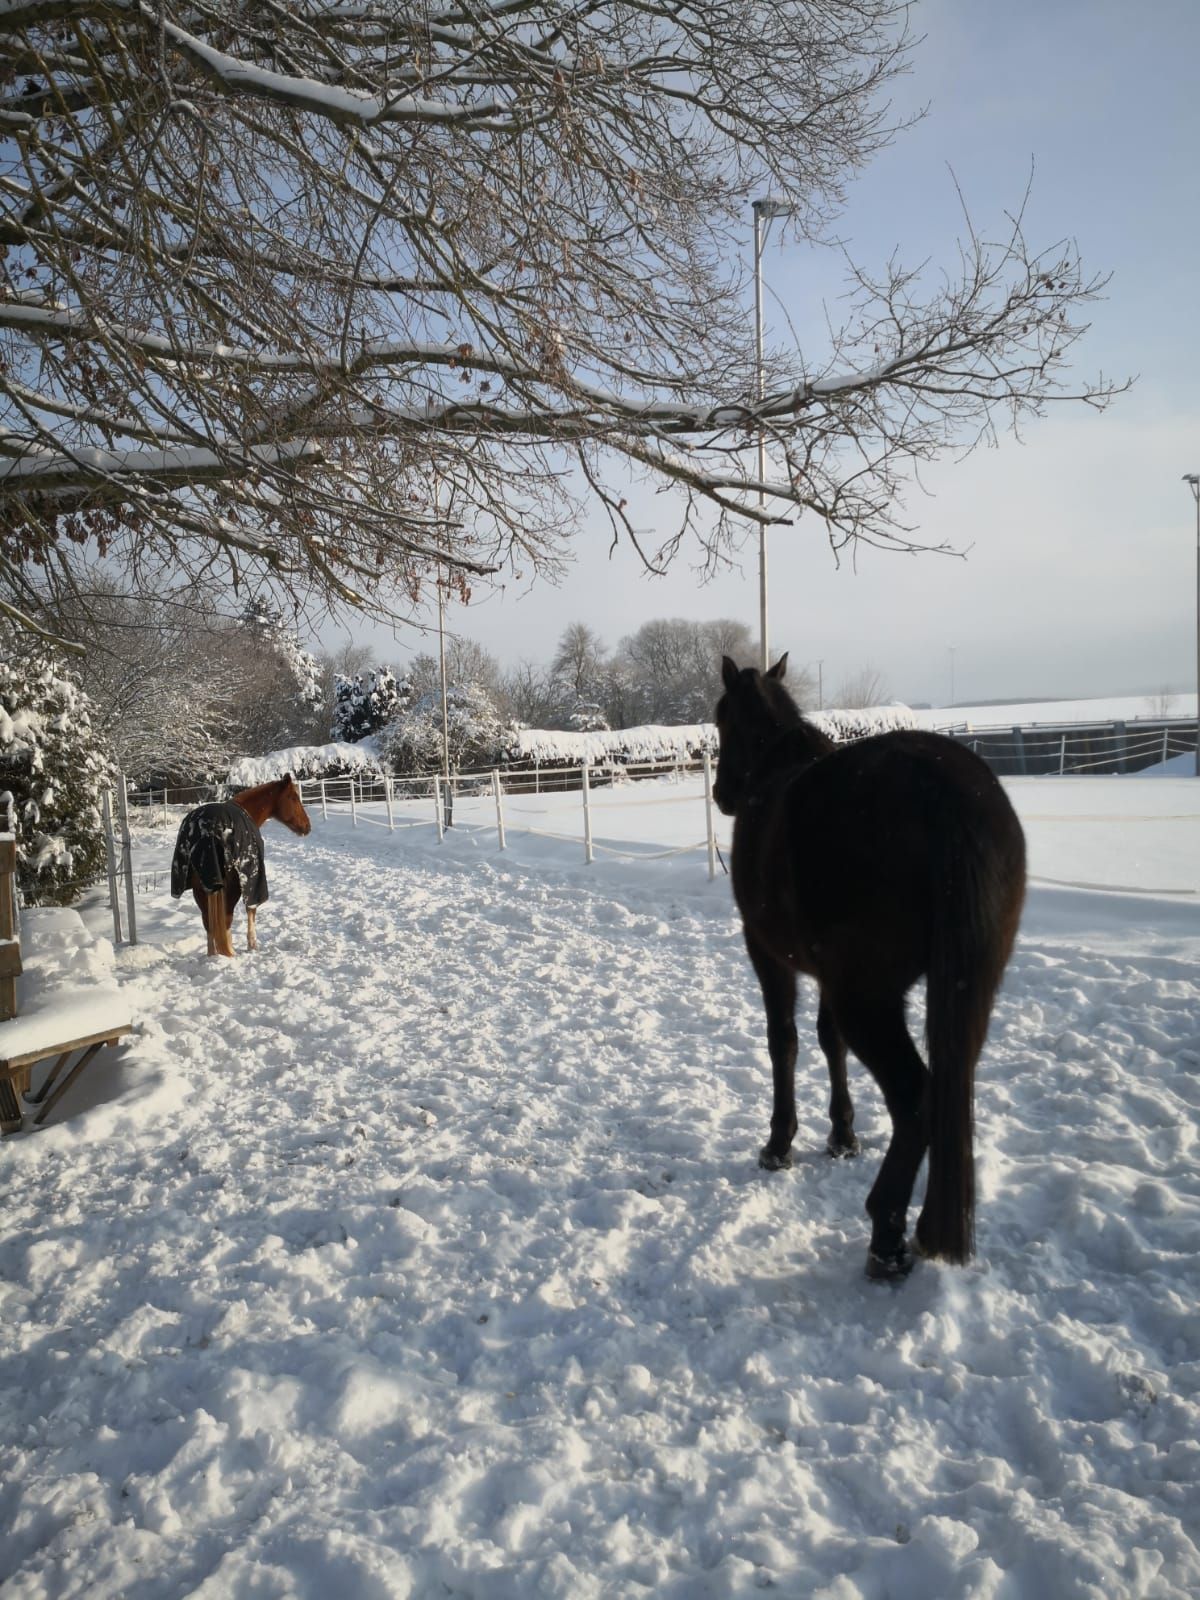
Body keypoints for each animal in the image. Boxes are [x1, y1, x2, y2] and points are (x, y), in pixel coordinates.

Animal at [170, 774, 311, 957]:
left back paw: (213, 956)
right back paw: (230, 953)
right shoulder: (252, 879)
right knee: (227, 918)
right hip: (232, 886)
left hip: (201, 887)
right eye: (294, 797)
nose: (307, 826)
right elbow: (251, 909)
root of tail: (208, 832)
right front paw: (252, 945)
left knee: (208, 921)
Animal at [713, 655, 1026, 1279]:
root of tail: (940, 790)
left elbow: (785, 1040)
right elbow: (827, 1040)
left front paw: (779, 1144)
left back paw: (887, 1236)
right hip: (962, 987)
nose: (721, 793)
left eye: (720, 720)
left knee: (916, 1098)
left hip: (870, 1001)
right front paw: (842, 1134)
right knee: (947, 1090)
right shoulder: (827, 975)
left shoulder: (769, 955)